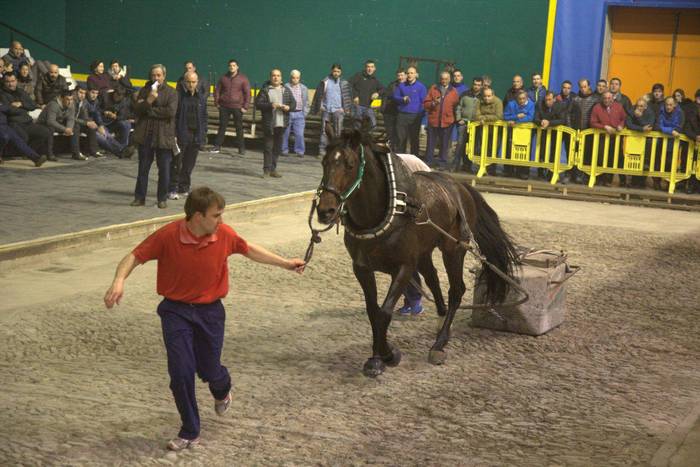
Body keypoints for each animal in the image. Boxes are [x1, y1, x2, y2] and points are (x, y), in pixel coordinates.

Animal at [314, 119, 516, 376]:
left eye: (350, 165)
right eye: (324, 162)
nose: (325, 210)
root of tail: (460, 186)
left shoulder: (404, 267)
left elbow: (384, 312)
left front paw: (387, 356)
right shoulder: (362, 268)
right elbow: (373, 311)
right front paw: (377, 356)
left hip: (453, 249)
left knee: (456, 290)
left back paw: (440, 344)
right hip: (424, 253)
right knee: (434, 280)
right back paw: (440, 323)